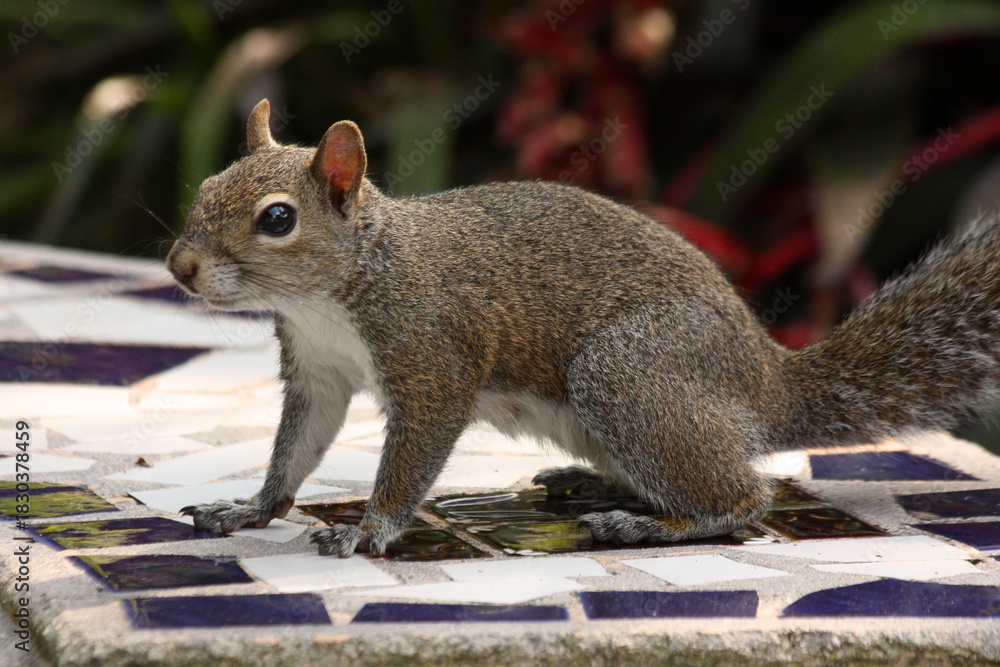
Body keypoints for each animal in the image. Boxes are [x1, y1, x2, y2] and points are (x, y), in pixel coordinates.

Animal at [168, 99, 1000, 557]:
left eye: (278, 218)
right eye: (205, 186)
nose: (180, 266)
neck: (332, 293)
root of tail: (769, 383)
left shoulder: (434, 358)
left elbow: (411, 455)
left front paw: (368, 530)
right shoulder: (317, 368)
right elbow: (298, 446)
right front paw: (251, 506)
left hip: (629, 373)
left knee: (743, 498)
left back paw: (650, 524)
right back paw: (593, 482)